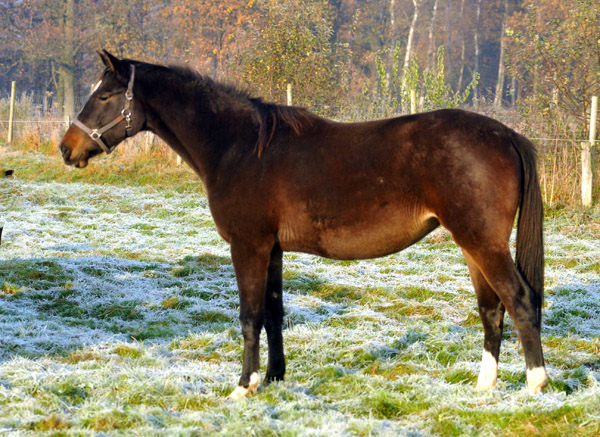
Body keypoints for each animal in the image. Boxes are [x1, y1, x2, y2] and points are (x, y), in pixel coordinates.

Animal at [58, 51, 548, 398]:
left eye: (104, 96)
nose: (67, 148)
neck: (239, 147)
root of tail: (507, 136)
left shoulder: (248, 245)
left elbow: (250, 315)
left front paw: (244, 386)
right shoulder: (272, 249)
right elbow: (274, 312)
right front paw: (274, 377)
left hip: (482, 242)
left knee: (520, 300)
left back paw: (536, 383)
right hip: (471, 244)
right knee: (492, 308)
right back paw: (484, 386)